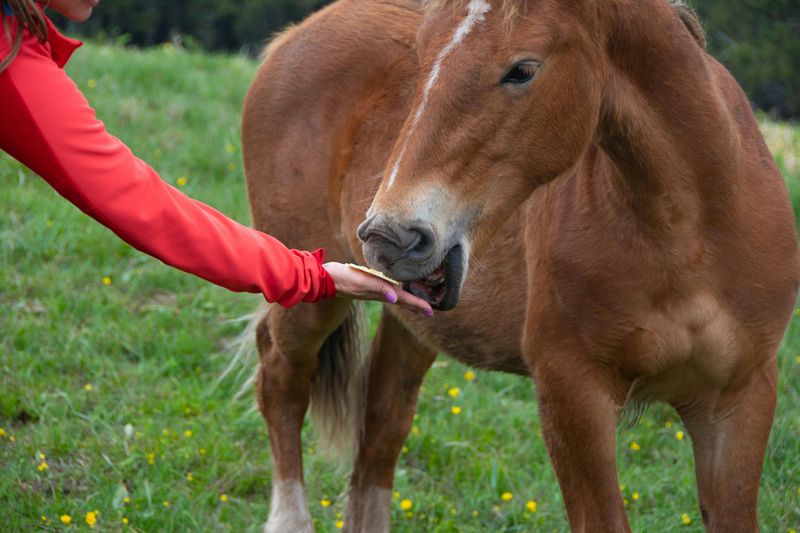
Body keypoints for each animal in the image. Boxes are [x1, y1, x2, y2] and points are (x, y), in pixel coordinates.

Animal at [240, 0, 799, 531]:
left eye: (523, 70)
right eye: (422, 59)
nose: (389, 236)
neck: (692, 234)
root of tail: (292, 38)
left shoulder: (738, 401)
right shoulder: (572, 395)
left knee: (382, 423)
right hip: (313, 302)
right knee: (282, 383)